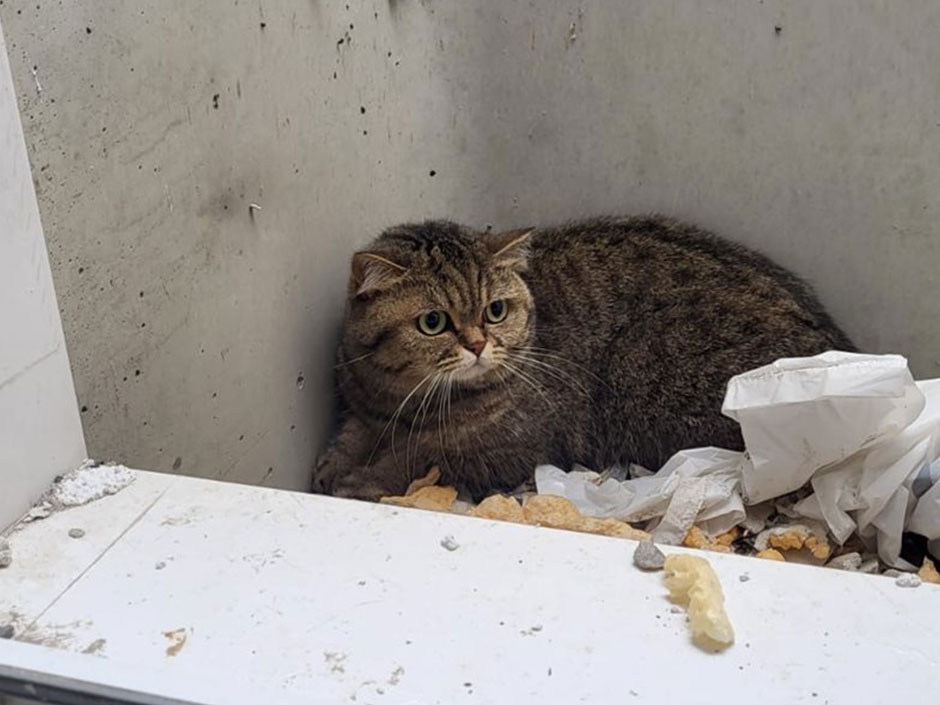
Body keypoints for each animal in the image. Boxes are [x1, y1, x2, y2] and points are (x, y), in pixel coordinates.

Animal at [312, 216, 856, 500]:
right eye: (433, 322)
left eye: (495, 311)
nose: (478, 344)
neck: (404, 399)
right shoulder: (364, 405)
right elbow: (353, 433)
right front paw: (333, 464)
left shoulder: (504, 450)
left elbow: (417, 457)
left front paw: (360, 479)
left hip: (640, 357)